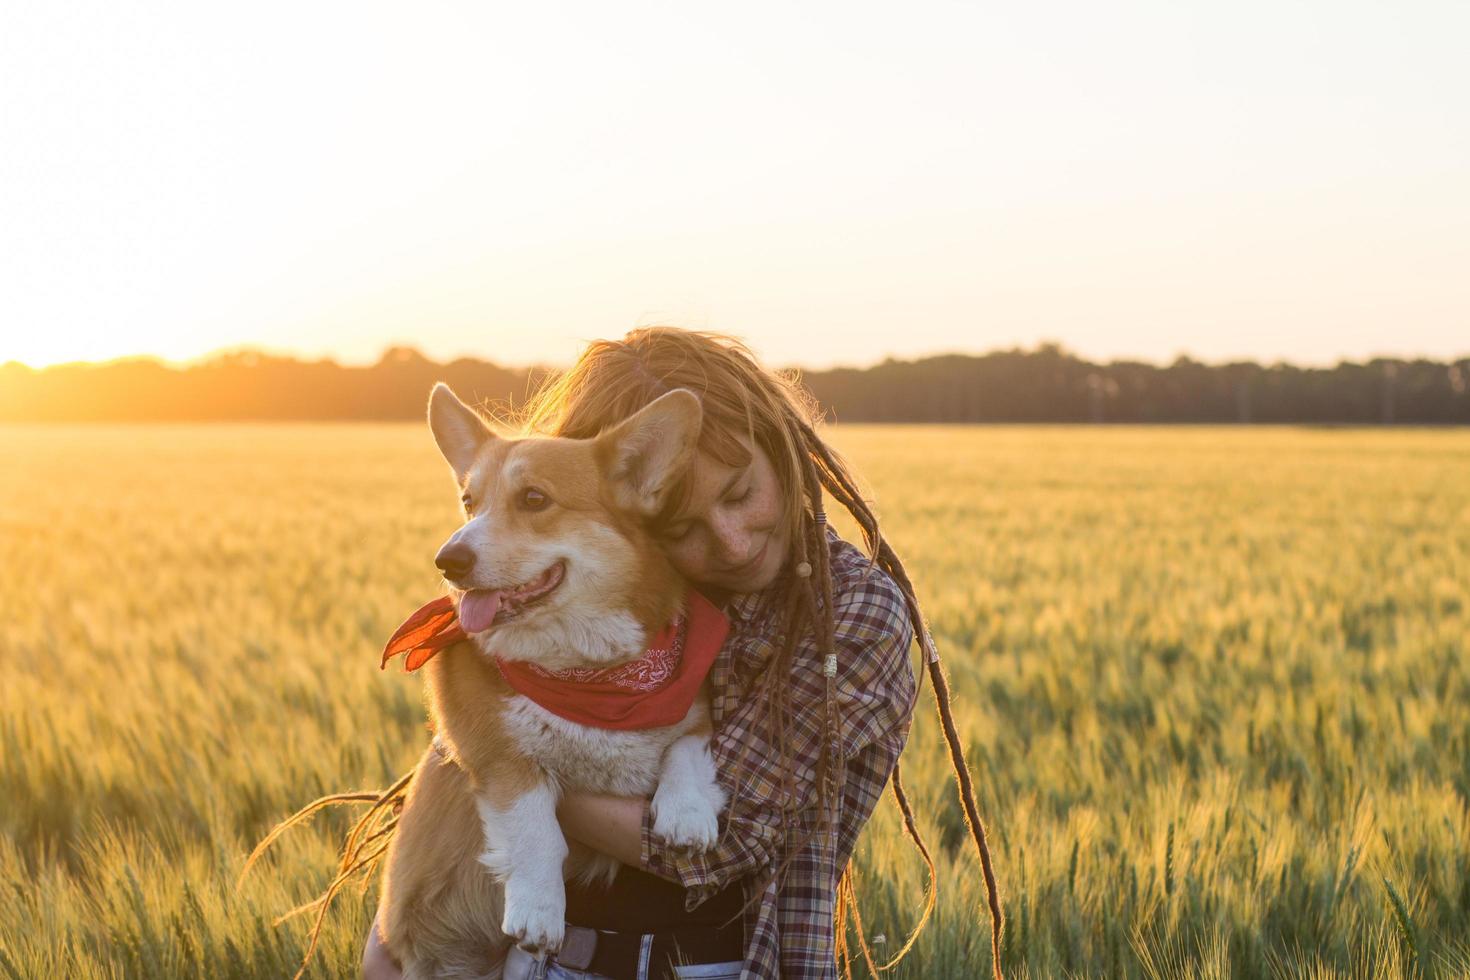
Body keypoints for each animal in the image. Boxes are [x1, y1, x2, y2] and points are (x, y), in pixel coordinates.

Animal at [376, 384, 726, 980]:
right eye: (469, 502)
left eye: (535, 499)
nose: (447, 560)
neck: (590, 672)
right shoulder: (496, 754)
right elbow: (535, 825)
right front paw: (539, 912)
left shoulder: (692, 703)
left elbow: (686, 748)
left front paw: (688, 815)